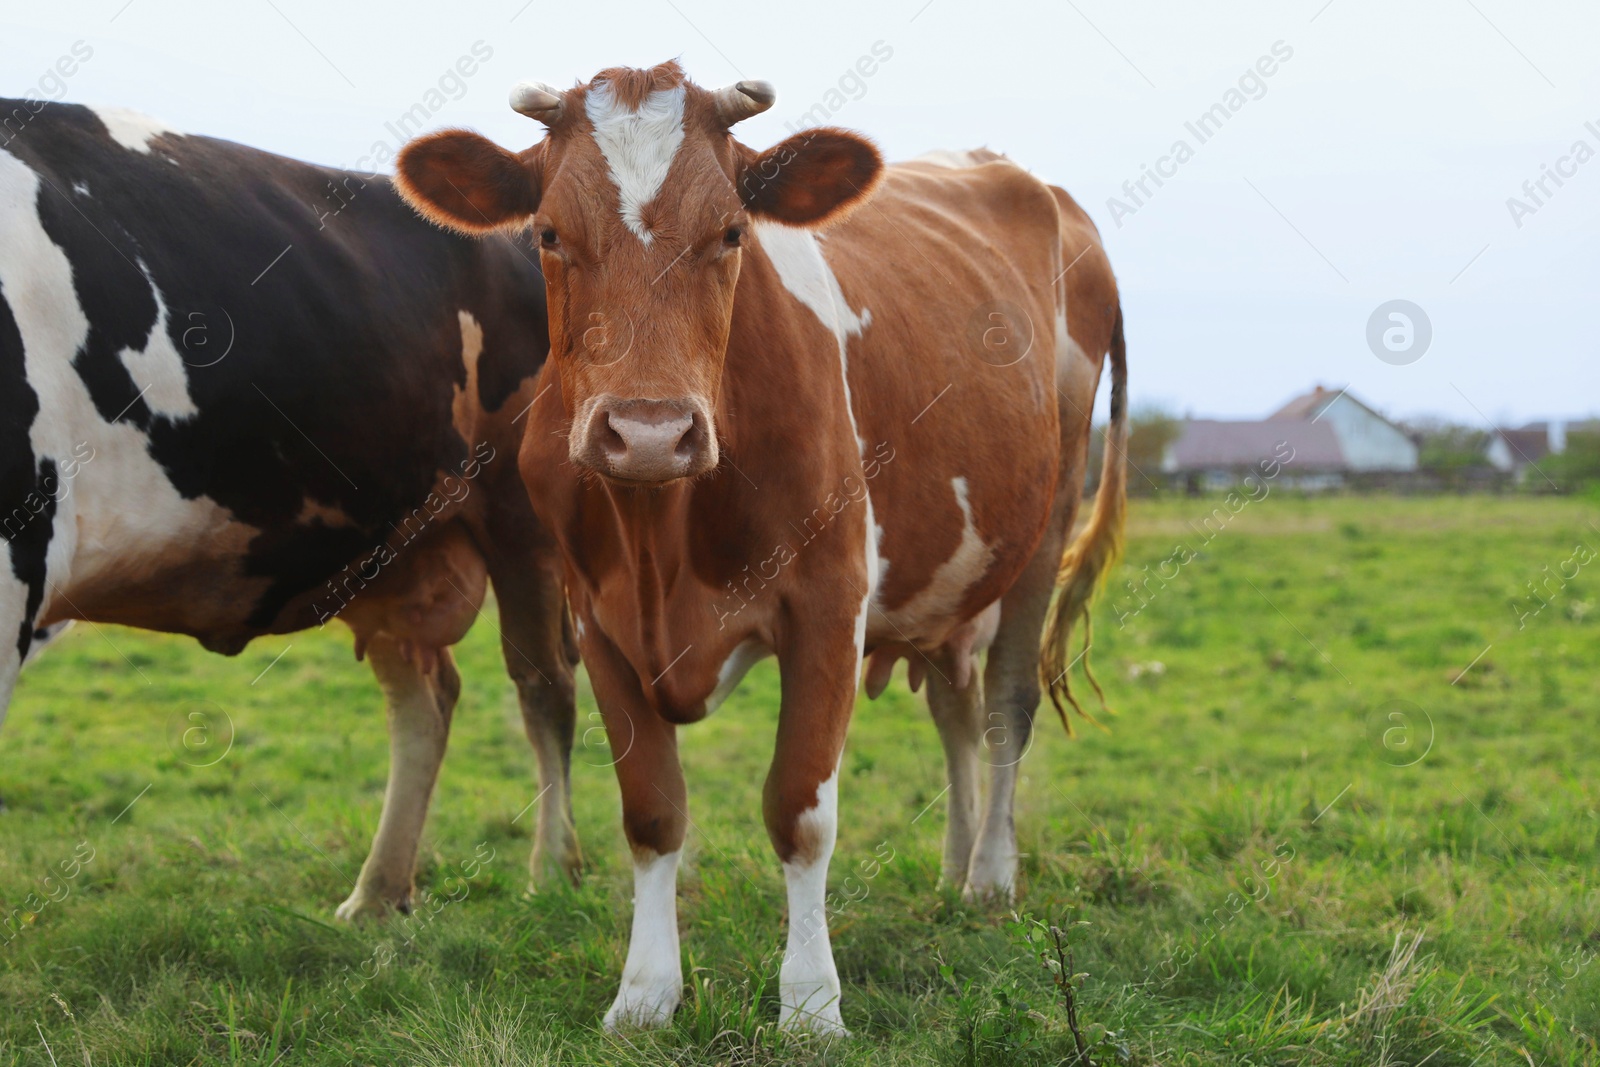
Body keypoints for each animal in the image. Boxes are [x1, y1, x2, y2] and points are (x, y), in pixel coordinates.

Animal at [0, 102, 576, 921]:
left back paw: (551, 874)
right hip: (396, 548)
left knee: (543, 683)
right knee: (425, 695)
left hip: (522, 519)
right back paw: (377, 895)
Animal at [395, 60, 1132, 1036]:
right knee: (956, 706)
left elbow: (799, 808)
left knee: (1008, 703)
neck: (662, 535)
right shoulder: (598, 619)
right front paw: (644, 993)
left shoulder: (829, 603)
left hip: (1046, 522)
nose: (649, 432)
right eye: (547, 234)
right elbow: (651, 812)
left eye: (731, 232)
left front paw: (812, 1001)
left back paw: (989, 877)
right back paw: (953, 864)